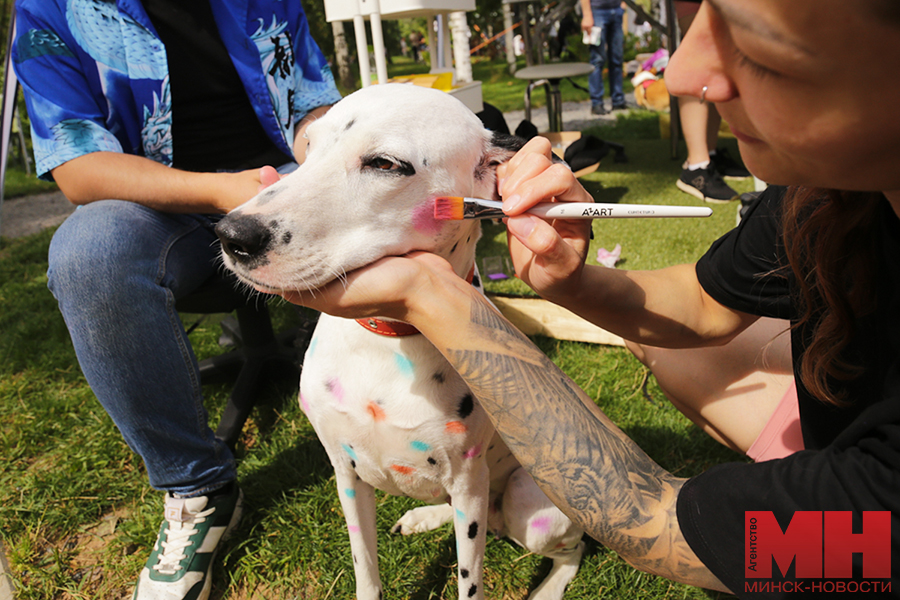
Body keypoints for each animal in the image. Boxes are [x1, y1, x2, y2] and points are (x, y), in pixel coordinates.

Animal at [217, 84, 584, 600]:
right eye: (311, 145)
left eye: (385, 164)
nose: (233, 235)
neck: (385, 345)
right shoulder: (346, 477)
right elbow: (365, 570)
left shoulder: (469, 483)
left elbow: (469, 582)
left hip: (526, 505)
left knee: (572, 549)